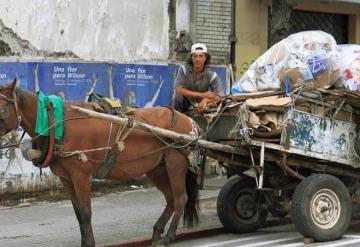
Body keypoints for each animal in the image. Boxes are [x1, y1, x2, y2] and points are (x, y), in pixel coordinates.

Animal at [0, 79, 200, 247]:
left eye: (2, 109)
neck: (56, 122)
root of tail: (189, 121)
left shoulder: (80, 176)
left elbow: (85, 212)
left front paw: (89, 243)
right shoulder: (66, 178)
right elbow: (78, 213)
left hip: (175, 163)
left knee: (181, 198)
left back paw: (169, 237)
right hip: (157, 169)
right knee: (171, 198)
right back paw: (157, 232)